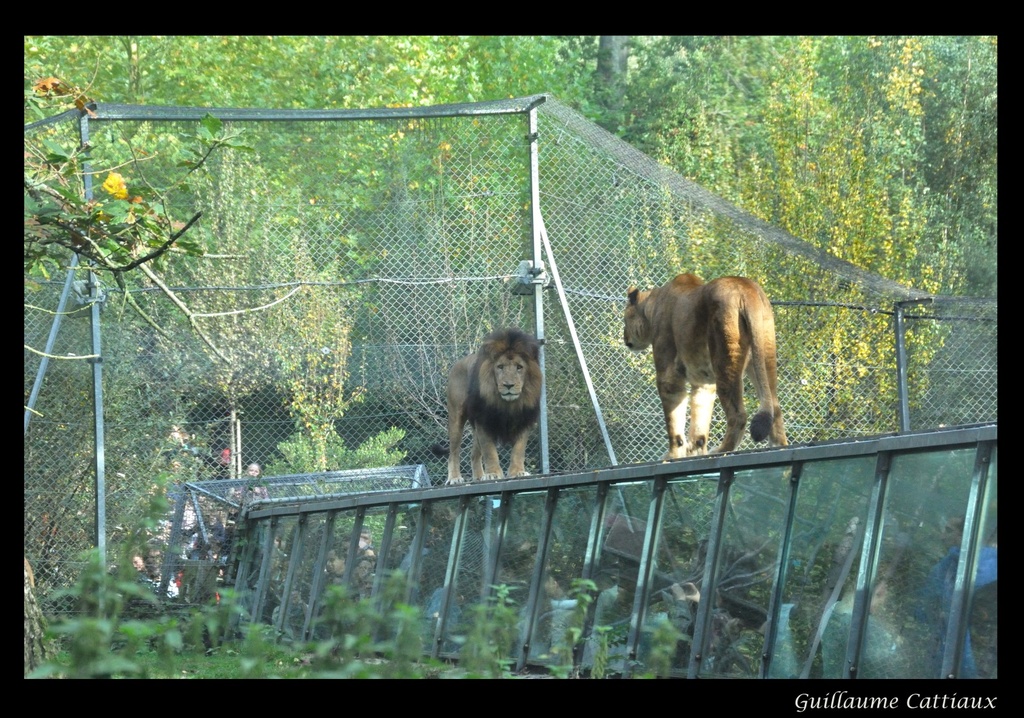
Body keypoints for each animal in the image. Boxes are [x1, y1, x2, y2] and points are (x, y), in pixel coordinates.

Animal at [445, 328, 543, 484]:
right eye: (500, 367)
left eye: (519, 367)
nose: (508, 385)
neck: (508, 404)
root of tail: (458, 362)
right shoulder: (484, 420)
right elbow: (489, 451)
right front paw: (493, 474)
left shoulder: (524, 420)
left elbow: (519, 450)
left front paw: (517, 472)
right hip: (456, 417)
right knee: (453, 452)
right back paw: (455, 478)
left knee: (474, 454)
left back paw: (479, 477)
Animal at [623, 273, 787, 459]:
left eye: (624, 320)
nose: (624, 338)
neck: (652, 307)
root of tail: (746, 288)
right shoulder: (703, 383)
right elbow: (699, 426)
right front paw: (695, 452)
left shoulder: (668, 376)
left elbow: (674, 424)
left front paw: (672, 455)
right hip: (764, 356)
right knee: (775, 406)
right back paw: (779, 446)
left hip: (724, 358)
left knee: (738, 415)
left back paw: (721, 451)